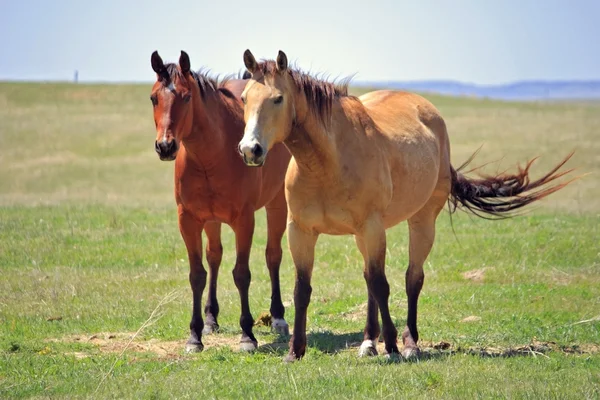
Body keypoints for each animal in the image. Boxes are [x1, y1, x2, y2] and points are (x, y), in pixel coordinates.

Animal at [149, 50, 292, 354]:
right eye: (154, 97)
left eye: (186, 97)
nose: (165, 146)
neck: (210, 155)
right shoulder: (189, 219)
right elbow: (197, 274)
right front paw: (195, 335)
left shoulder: (244, 220)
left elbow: (242, 274)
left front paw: (248, 336)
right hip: (212, 220)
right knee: (214, 256)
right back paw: (211, 319)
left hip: (276, 205)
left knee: (273, 255)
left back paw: (278, 318)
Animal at [237, 50, 576, 362]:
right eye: (243, 98)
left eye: (278, 99)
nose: (250, 150)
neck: (327, 162)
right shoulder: (302, 231)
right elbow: (303, 289)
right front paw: (295, 351)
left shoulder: (371, 227)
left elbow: (382, 284)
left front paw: (392, 347)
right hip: (364, 234)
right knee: (369, 279)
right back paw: (368, 342)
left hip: (421, 222)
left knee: (412, 279)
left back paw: (409, 343)